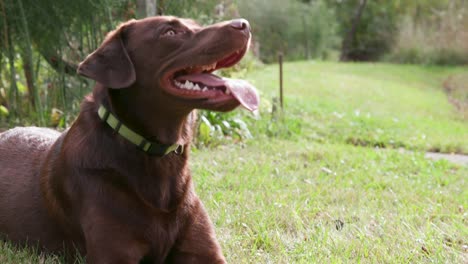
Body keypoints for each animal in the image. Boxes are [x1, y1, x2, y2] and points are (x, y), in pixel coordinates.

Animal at [0, 16, 256, 262]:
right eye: (170, 32)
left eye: (196, 24)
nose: (244, 24)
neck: (157, 157)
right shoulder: (114, 254)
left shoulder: (205, 252)